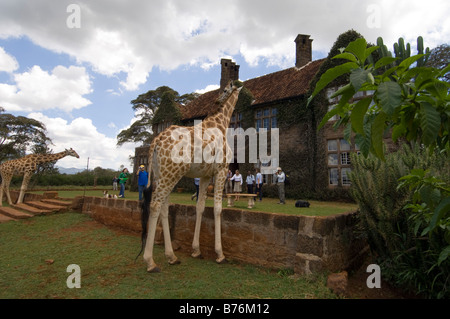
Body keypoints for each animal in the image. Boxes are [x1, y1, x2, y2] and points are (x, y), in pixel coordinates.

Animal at [141, 81, 243, 274]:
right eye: (226, 89)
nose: (218, 100)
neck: (222, 123)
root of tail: (156, 141)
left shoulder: (205, 176)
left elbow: (200, 207)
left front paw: (196, 250)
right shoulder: (221, 170)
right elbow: (218, 209)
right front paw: (220, 254)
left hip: (162, 174)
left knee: (164, 207)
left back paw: (172, 257)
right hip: (171, 172)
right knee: (156, 204)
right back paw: (150, 262)